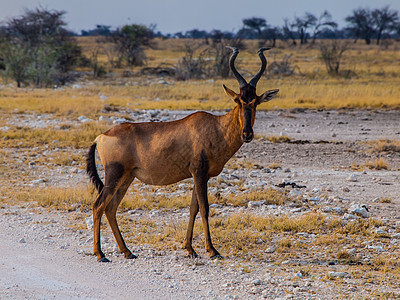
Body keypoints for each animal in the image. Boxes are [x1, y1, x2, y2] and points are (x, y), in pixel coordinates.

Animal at [86, 46, 278, 260]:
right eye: (238, 100)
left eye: (256, 101)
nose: (247, 134)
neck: (215, 127)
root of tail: (100, 137)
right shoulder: (199, 173)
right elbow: (204, 208)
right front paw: (212, 250)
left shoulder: (200, 175)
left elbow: (193, 208)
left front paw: (190, 248)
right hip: (114, 175)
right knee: (98, 205)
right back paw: (100, 254)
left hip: (127, 177)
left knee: (111, 208)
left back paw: (127, 251)